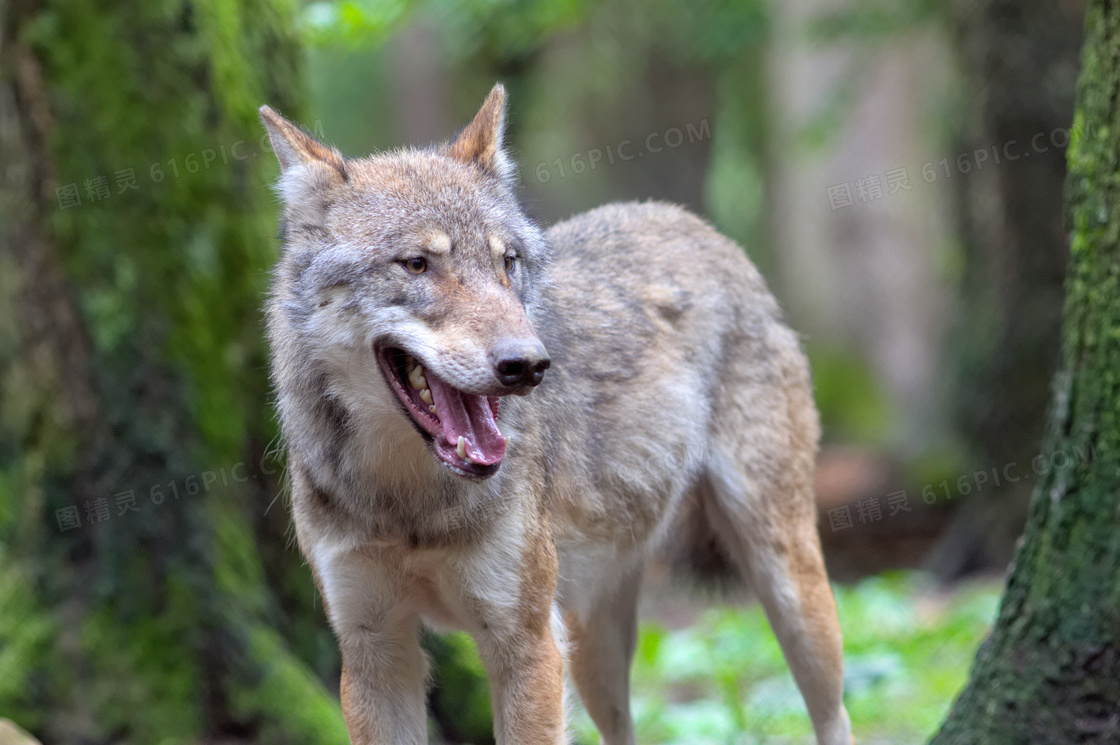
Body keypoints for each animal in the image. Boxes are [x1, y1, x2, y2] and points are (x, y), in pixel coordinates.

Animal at [259, 84, 846, 739]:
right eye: (416, 264)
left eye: (507, 262)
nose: (529, 364)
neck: (409, 505)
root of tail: (691, 222)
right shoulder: (373, 652)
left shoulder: (527, 644)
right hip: (593, 644)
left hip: (788, 589)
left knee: (837, 716)